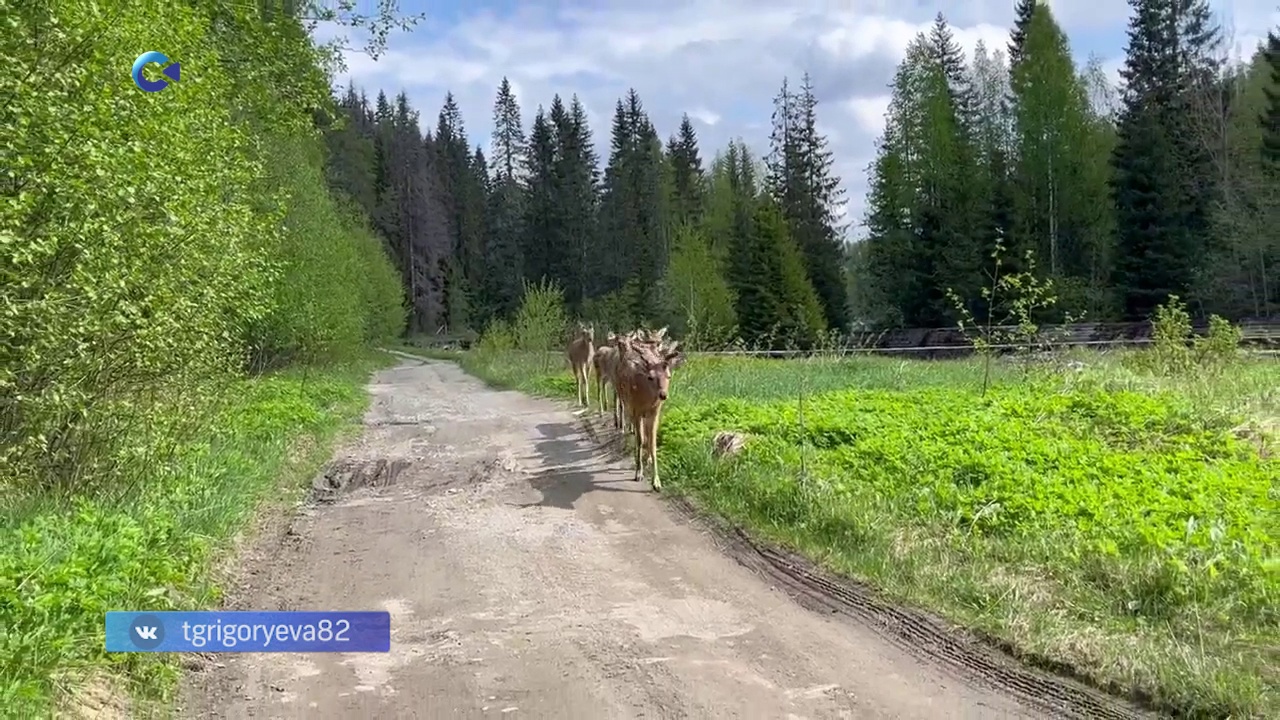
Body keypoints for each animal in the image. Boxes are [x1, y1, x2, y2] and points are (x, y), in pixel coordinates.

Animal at [614, 333, 686, 489]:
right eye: (650, 377)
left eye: (669, 376)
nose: (663, 395)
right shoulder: (636, 409)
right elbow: (640, 440)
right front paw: (638, 473)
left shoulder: (655, 411)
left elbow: (652, 442)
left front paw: (656, 481)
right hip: (625, 400)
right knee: (636, 431)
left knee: (647, 434)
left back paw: (648, 459)